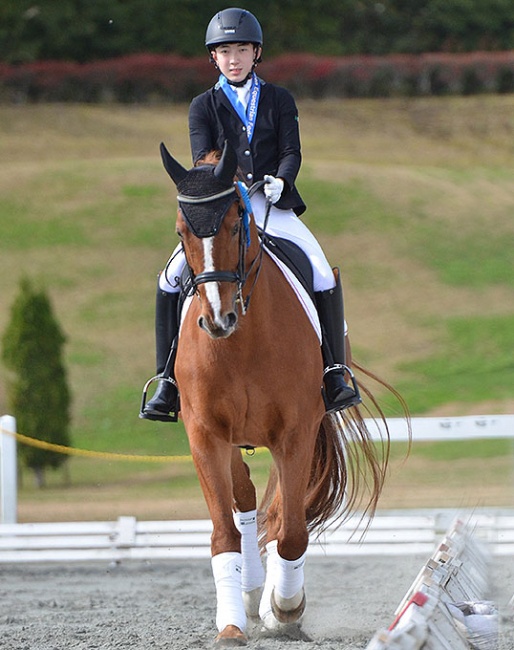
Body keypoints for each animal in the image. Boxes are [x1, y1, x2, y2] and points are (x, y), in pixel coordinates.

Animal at [158, 139, 398, 640]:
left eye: (235, 224)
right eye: (181, 231)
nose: (217, 320)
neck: (241, 343)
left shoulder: (296, 433)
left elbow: (292, 531)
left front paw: (285, 610)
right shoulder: (204, 433)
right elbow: (224, 531)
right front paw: (232, 624)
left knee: (279, 509)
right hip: (230, 438)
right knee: (245, 497)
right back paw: (249, 590)